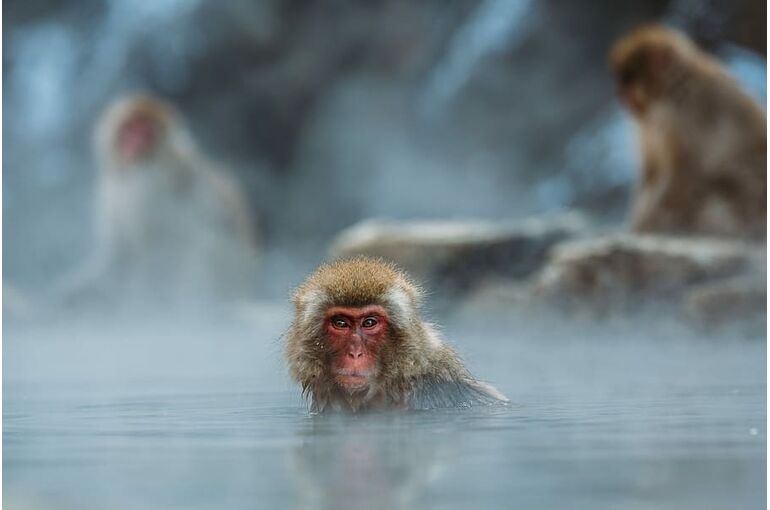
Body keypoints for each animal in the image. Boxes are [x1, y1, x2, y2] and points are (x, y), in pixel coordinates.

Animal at [54, 94, 259, 309]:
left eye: (147, 134)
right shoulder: (110, 189)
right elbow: (119, 256)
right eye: (129, 129)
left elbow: (156, 250)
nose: (133, 146)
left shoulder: (147, 190)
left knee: (202, 245)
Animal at [609, 25, 766, 239]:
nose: (619, 94)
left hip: (747, 198)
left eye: (629, 80)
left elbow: (685, 171)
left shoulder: (686, 115)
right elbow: (652, 171)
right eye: (621, 80)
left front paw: (645, 225)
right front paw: (637, 223)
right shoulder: (648, 125)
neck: (672, 89)